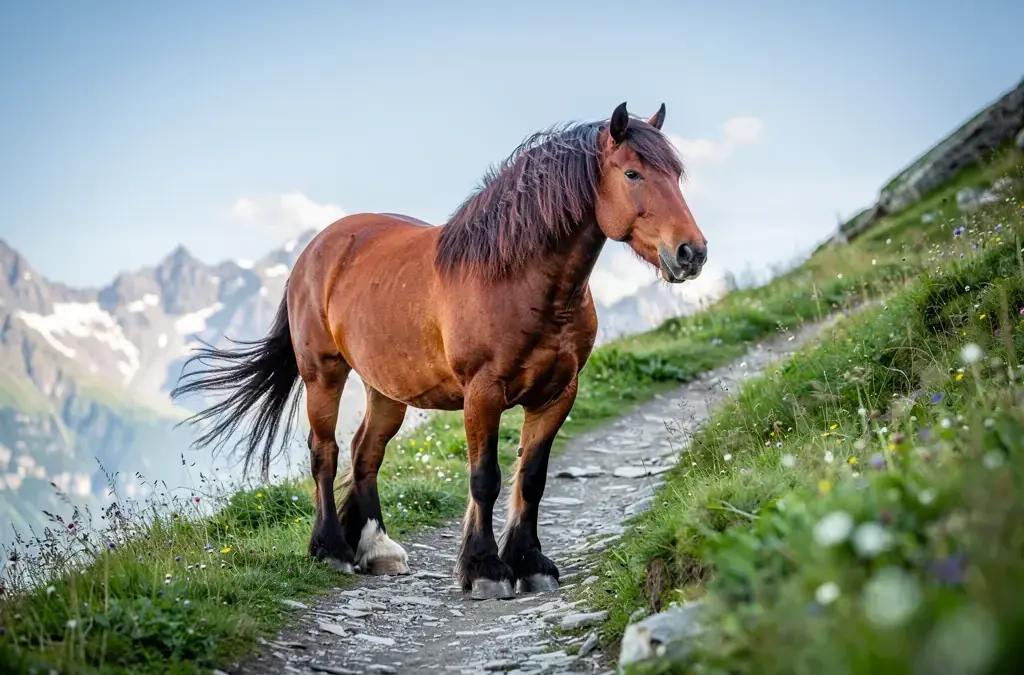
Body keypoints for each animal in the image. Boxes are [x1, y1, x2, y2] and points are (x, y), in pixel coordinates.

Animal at [170, 101, 707, 600]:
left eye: (676, 175)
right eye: (633, 173)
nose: (691, 252)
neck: (517, 278)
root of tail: (315, 251)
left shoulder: (558, 393)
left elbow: (532, 477)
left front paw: (530, 563)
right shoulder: (483, 393)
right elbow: (485, 478)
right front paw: (486, 569)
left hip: (386, 389)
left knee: (366, 453)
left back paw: (376, 548)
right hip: (323, 374)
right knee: (325, 452)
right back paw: (333, 550)